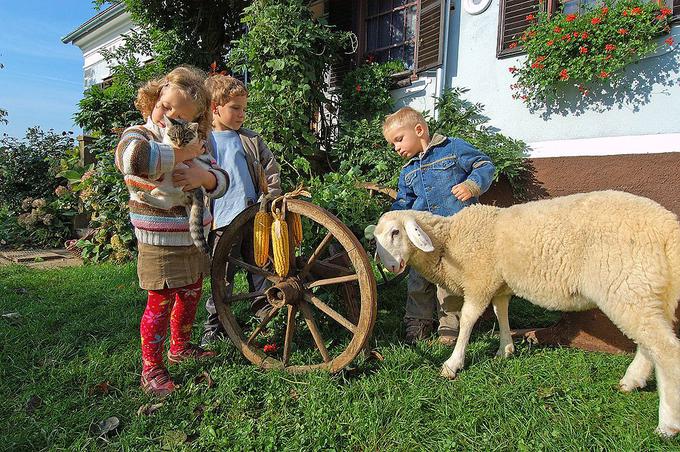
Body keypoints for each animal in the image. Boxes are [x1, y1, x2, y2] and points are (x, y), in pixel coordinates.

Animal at [137, 115, 211, 254]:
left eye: (186, 139)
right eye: (173, 137)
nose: (178, 145)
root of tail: (197, 190)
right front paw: (154, 172)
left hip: (182, 172)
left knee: (173, 189)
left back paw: (155, 190)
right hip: (171, 194)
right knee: (166, 204)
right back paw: (145, 195)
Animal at [374, 190, 680, 434]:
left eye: (396, 233)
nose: (390, 267)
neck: (450, 241)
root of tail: (668, 228)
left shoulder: (480, 280)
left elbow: (469, 320)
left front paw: (453, 363)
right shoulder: (499, 284)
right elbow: (501, 312)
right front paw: (505, 349)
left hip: (629, 287)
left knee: (666, 350)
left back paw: (667, 423)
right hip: (648, 293)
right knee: (650, 344)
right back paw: (632, 381)